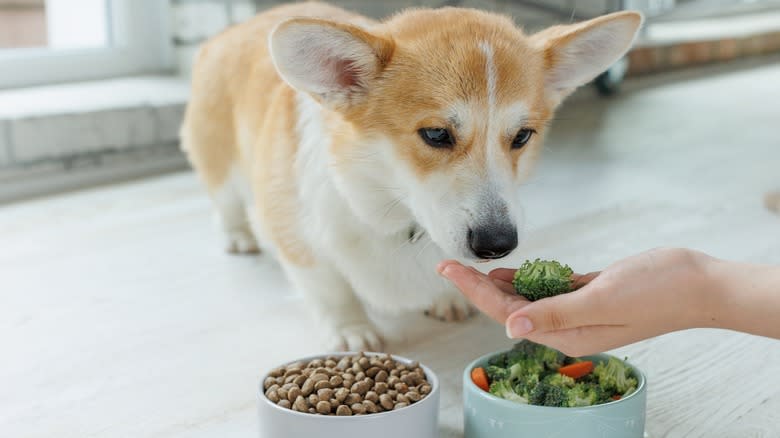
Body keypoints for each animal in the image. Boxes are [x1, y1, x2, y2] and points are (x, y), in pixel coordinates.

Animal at [180, 1, 644, 350]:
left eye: (522, 136)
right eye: (436, 134)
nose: (497, 245)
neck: (392, 208)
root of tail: (231, 30)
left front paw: (445, 299)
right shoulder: (296, 234)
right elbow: (331, 289)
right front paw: (352, 333)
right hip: (218, 159)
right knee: (225, 201)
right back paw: (237, 236)